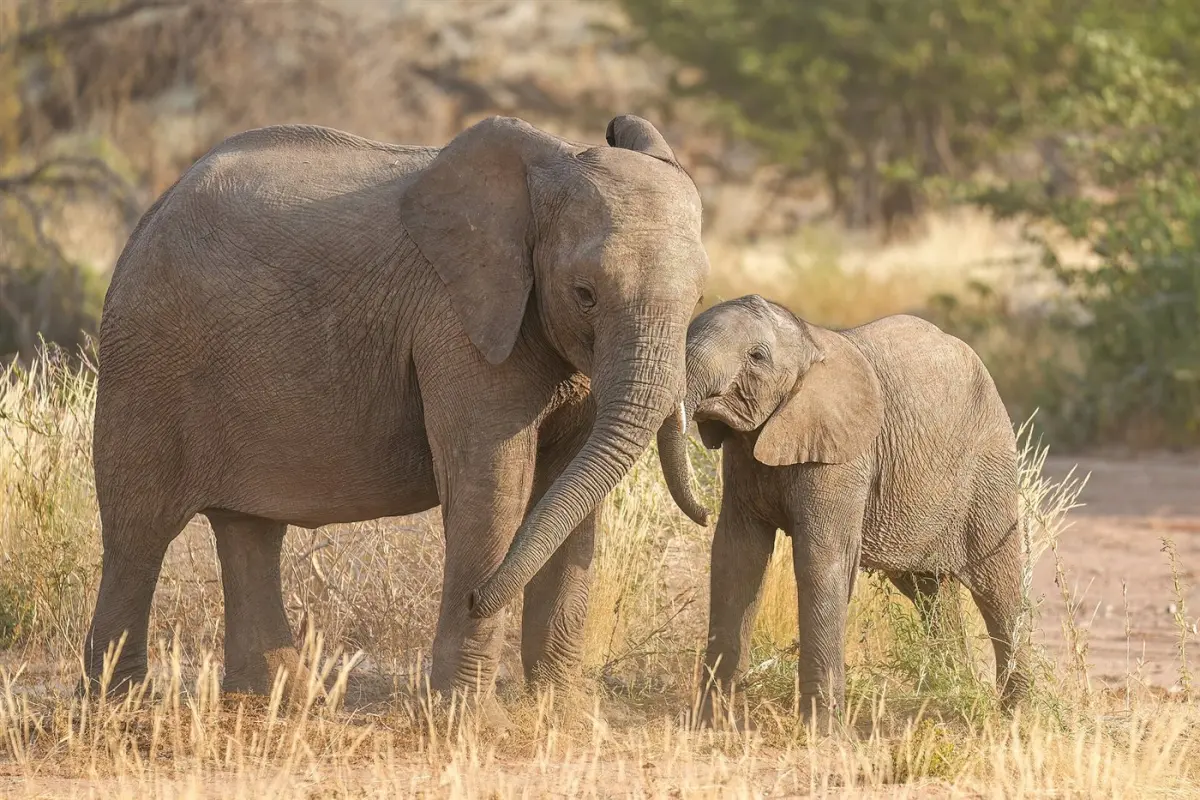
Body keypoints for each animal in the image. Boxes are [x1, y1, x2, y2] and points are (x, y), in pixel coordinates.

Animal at [85, 113, 709, 705]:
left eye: (700, 297)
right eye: (585, 294)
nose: (476, 597)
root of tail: (155, 209)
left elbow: (570, 492)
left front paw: (564, 713)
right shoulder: (457, 320)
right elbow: (493, 486)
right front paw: (470, 719)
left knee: (249, 528)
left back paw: (282, 700)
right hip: (147, 358)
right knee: (139, 529)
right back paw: (121, 703)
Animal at [656, 295, 1028, 729]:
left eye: (757, 357)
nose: (701, 512)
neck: (808, 341)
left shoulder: (845, 457)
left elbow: (821, 561)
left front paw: (820, 732)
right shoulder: (744, 456)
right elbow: (737, 558)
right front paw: (709, 725)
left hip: (989, 471)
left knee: (998, 590)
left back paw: (1018, 714)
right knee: (930, 591)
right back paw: (950, 691)